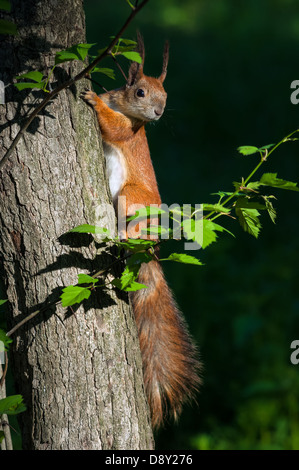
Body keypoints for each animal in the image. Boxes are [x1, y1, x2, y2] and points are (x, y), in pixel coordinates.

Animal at [81, 35, 202, 428]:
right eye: (139, 91)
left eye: (166, 96)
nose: (159, 113)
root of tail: (150, 248)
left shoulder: (128, 134)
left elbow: (113, 128)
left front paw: (91, 99)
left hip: (131, 196)